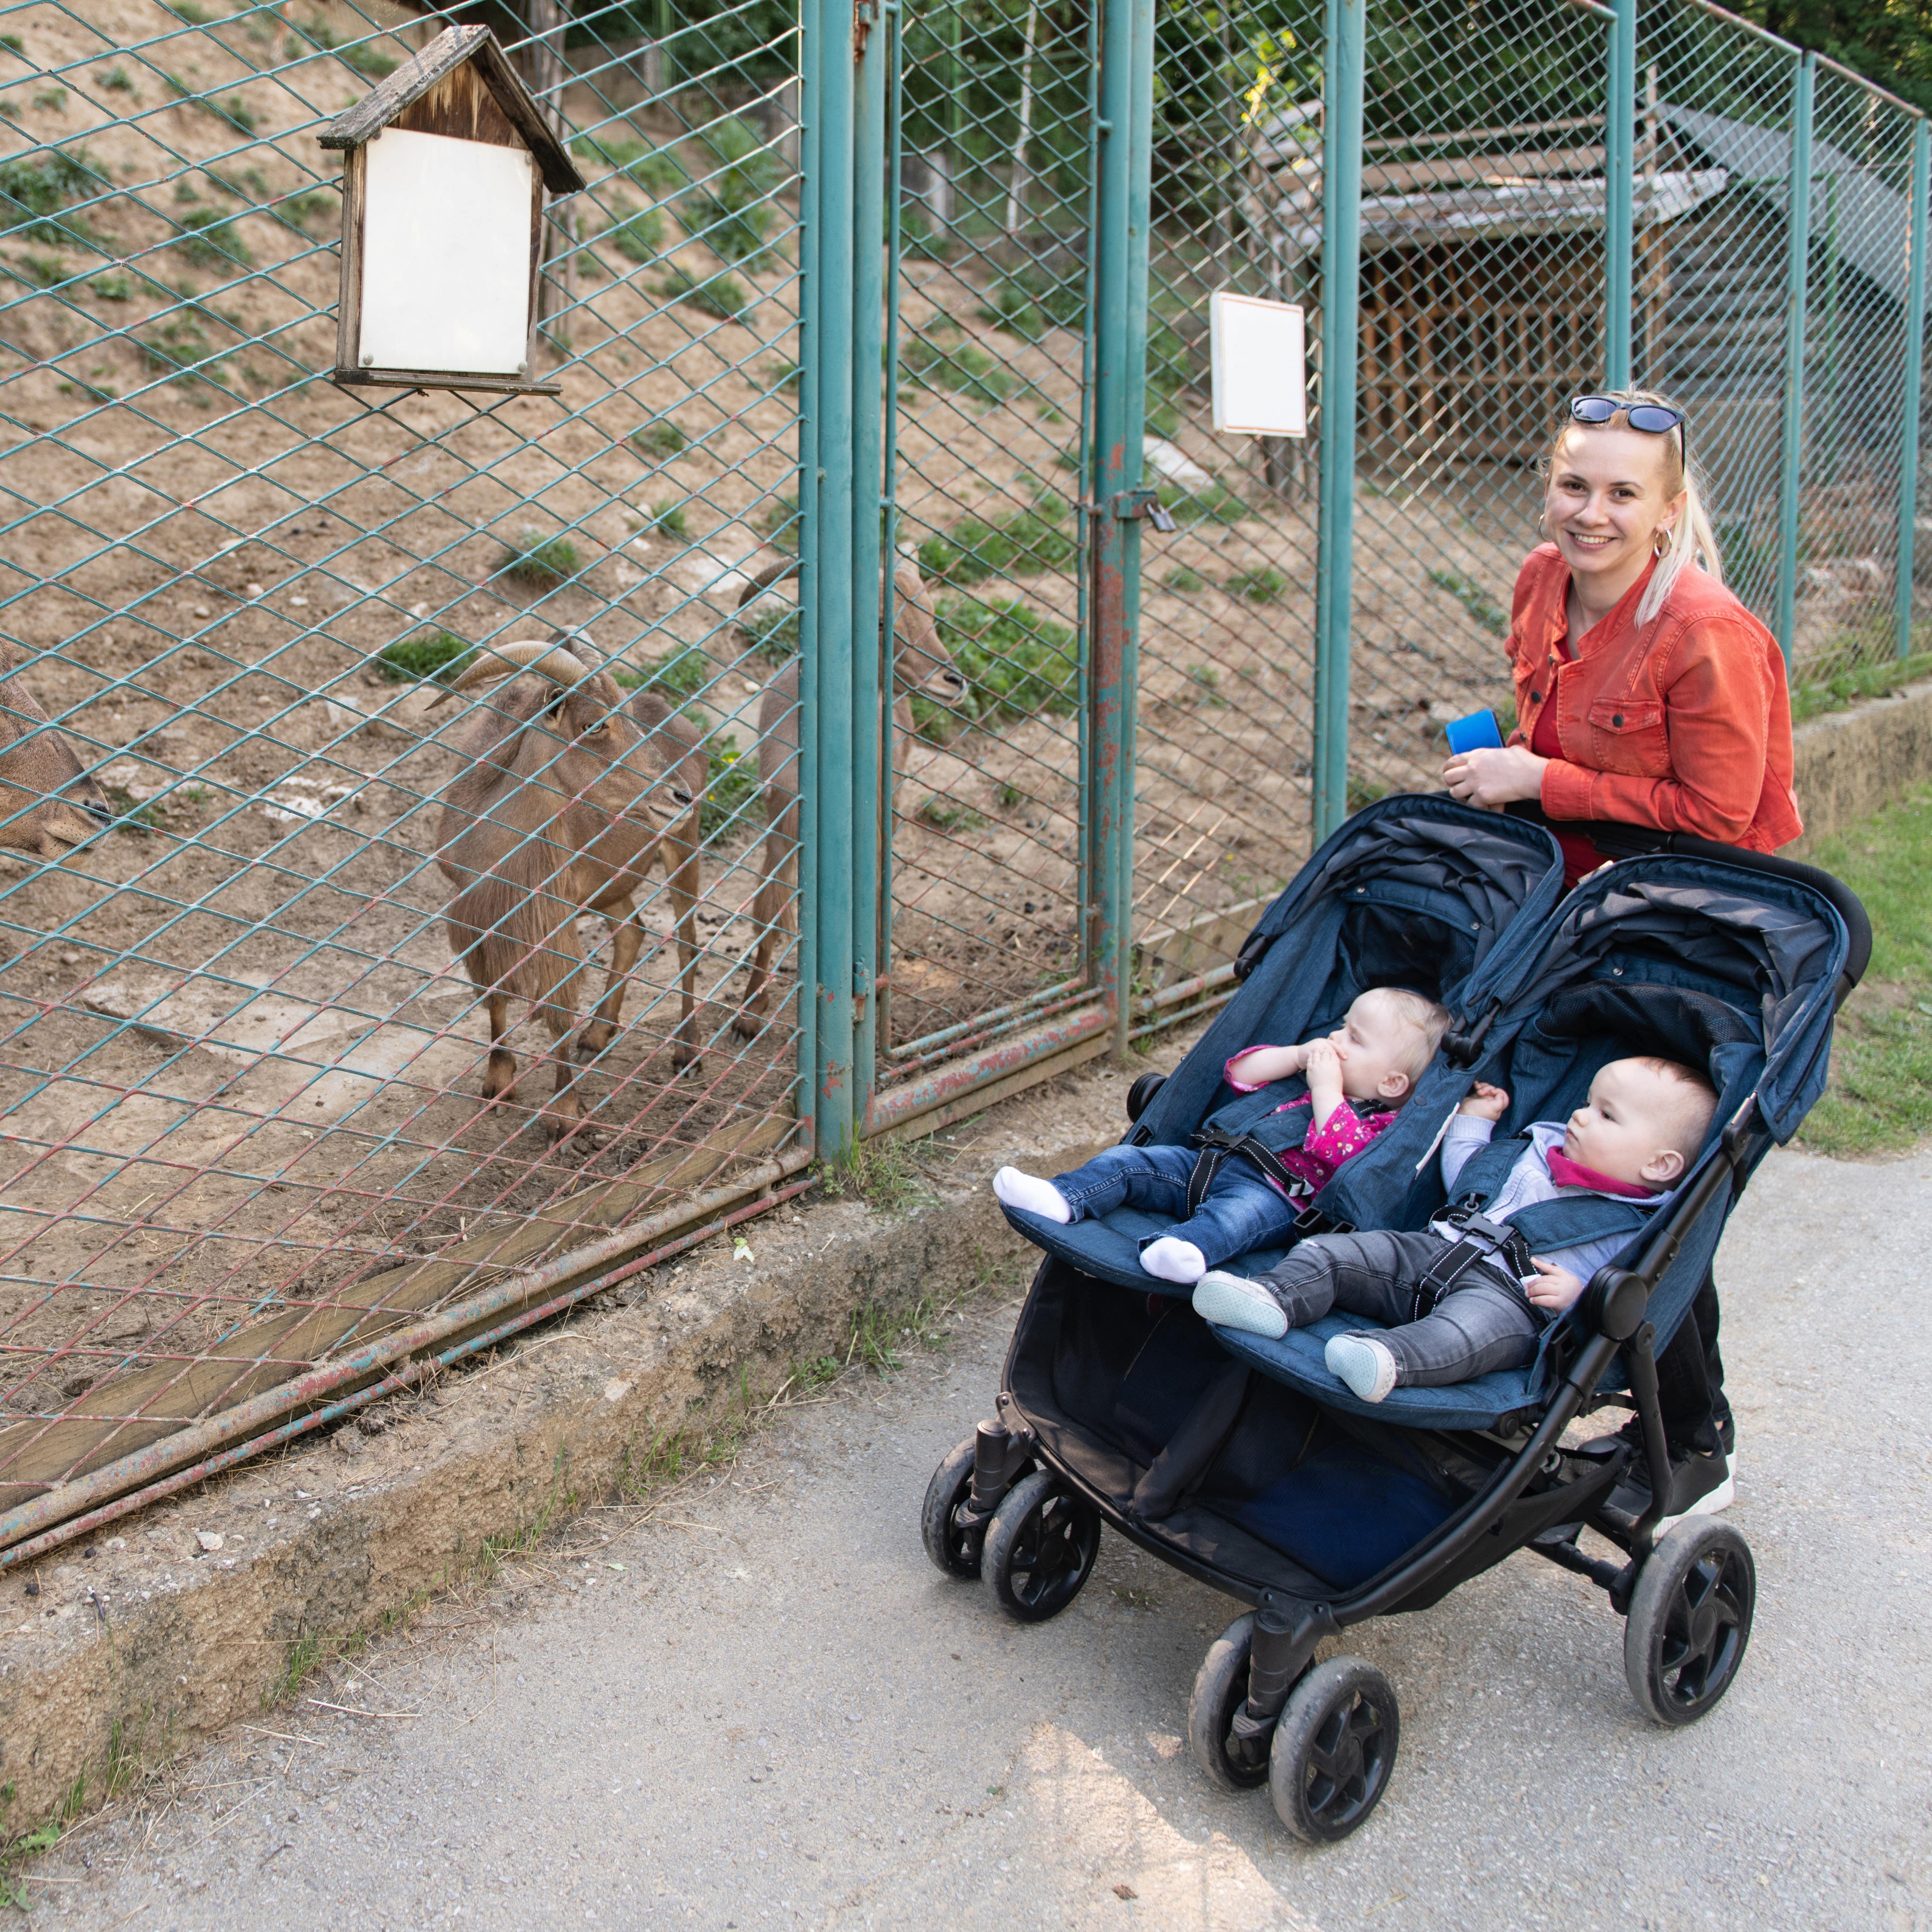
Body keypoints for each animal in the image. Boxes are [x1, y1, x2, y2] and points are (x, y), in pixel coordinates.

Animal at [431, 637, 711, 1128]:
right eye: (593, 724)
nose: (678, 796)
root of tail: (685, 725)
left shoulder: (551, 917)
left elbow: (558, 1004)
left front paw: (563, 1112)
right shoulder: (479, 916)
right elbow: (494, 995)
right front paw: (498, 1082)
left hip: (683, 846)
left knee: (687, 943)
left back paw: (686, 1052)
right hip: (607, 883)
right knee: (631, 930)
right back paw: (597, 1036)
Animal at [726, 560, 966, 1043]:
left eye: (931, 615)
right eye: (879, 621)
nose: (954, 681)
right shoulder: (782, 834)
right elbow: (768, 913)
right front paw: (748, 1015)